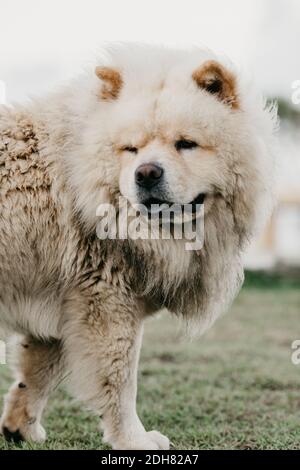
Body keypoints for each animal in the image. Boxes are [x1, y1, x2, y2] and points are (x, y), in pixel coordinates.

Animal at [0, 45, 276, 452]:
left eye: (186, 144)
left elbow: (37, 374)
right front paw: (133, 438)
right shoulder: (107, 304)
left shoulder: (63, 305)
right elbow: (120, 380)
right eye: (131, 149)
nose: (146, 172)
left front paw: (21, 427)